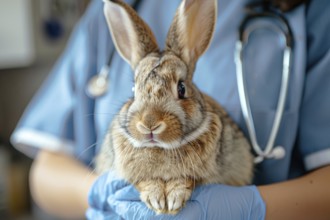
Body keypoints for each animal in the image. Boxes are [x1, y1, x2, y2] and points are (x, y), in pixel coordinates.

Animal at [95, 0, 255, 215]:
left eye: (181, 88)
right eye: (134, 89)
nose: (149, 124)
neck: (161, 148)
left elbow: (187, 180)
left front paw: (173, 200)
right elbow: (144, 181)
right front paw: (156, 198)